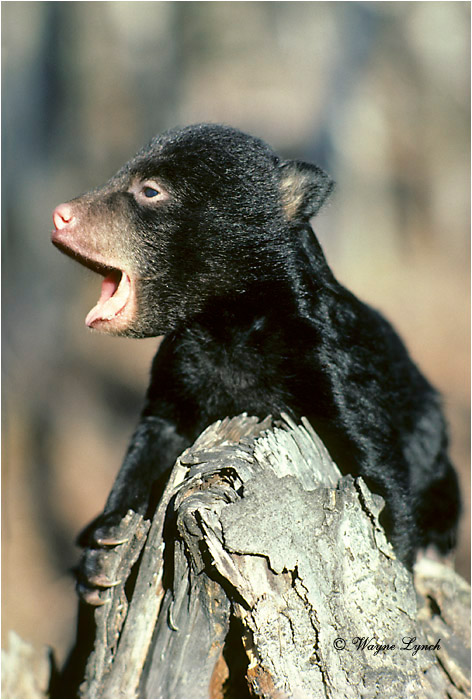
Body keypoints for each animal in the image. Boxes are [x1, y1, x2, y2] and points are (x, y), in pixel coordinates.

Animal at [52, 123, 460, 604]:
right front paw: (102, 549)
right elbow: (151, 442)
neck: (228, 327)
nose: (60, 215)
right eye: (121, 175)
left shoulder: (330, 365)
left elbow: (377, 468)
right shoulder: (181, 368)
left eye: (149, 190)